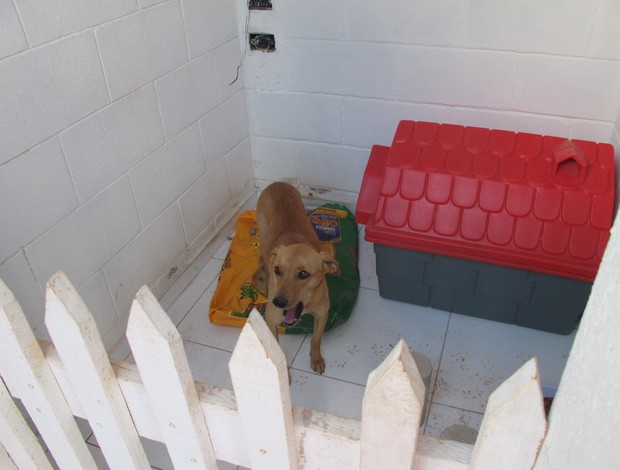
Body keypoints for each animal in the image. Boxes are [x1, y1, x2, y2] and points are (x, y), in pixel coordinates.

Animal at [256, 182, 340, 372]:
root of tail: (277, 183)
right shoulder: (272, 320)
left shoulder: (322, 314)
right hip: (263, 237)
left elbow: (316, 339)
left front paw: (316, 358)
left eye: (303, 274)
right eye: (278, 270)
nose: (278, 302)